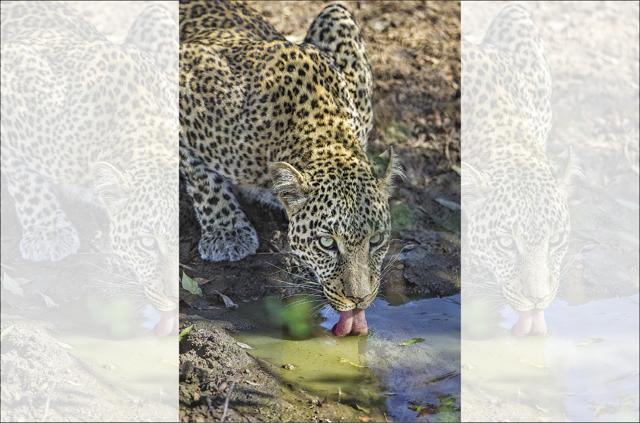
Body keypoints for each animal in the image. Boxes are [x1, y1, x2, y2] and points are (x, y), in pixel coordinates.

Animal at [179, 0, 401, 335]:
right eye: (326, 243)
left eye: (375, 240)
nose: (359, 299)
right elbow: (201, 175)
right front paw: (227, 232)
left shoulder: (339, 20)